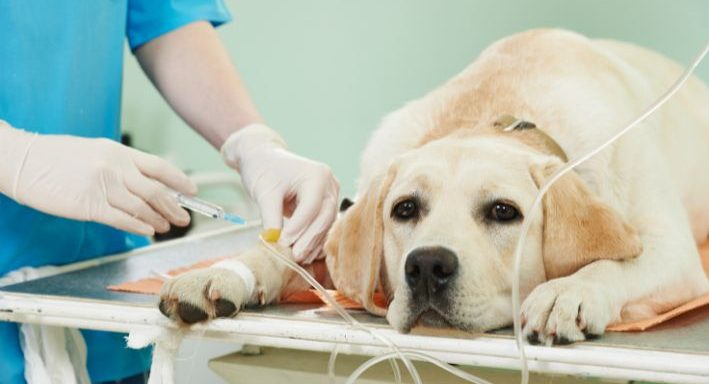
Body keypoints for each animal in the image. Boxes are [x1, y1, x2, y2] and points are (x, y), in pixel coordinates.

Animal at [159, 28, 708, 344]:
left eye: (504, 212)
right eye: (405, 209)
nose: (426, 266)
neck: (497, 113)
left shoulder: (677, 256)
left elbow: (612, 263)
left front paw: (567, 292)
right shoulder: (337, 231)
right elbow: (285, 251)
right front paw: (223, 271)